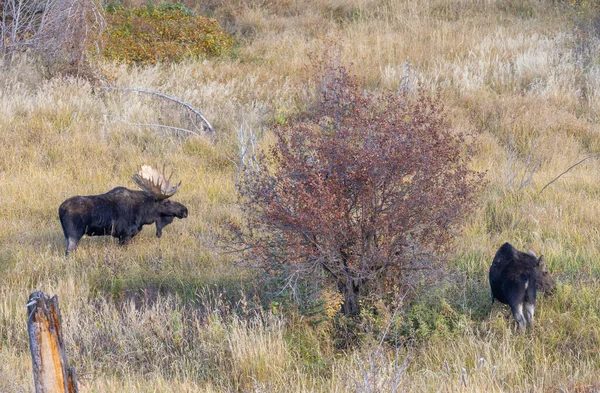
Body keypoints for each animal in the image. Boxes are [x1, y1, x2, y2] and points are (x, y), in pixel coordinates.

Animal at [58, 165, 190, 254]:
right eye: (166, 202)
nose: (185, 210)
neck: (143, 214)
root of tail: (60, 209)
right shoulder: (125, 235)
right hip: (74, 235)